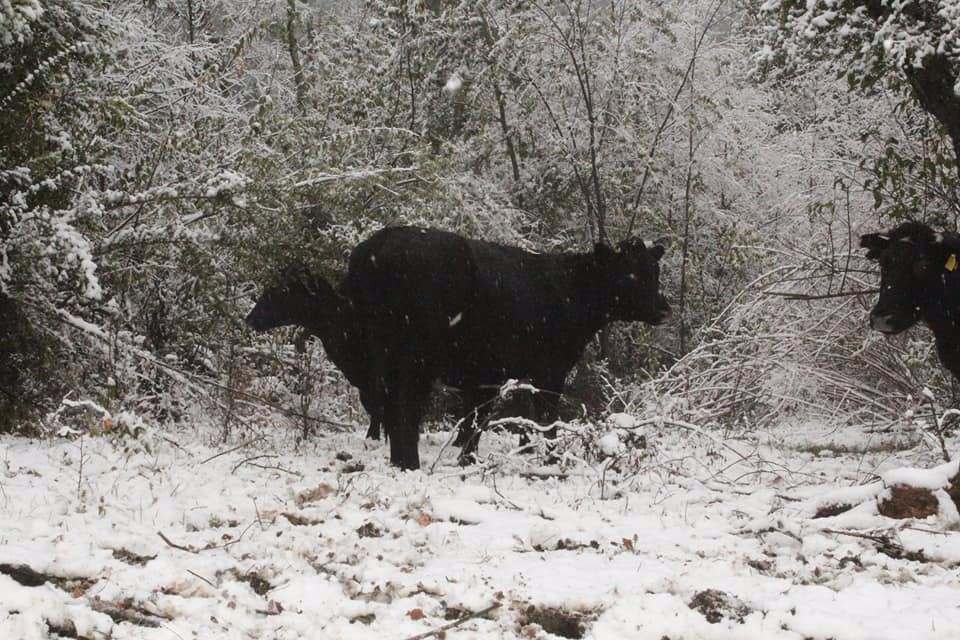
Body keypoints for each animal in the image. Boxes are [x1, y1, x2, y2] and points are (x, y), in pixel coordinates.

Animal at [344, 225, 668, 470]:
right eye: (629, 274)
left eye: (654, 272)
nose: (664, 308)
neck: (570, 290)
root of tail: (379, 244)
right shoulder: (550, 369)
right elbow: (545, 417)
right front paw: (551, 459)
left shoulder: (490, 374)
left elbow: (484, 419)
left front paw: (476, 458)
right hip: (414, 357)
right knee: (405, 406)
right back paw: (410, 464)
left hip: (380, 352)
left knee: (387, 402)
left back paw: (398, 462)